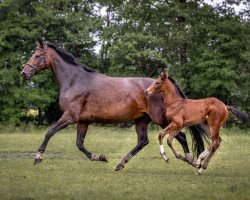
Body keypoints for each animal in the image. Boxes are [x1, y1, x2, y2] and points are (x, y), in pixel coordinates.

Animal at [21, 41, 209, 170]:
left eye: (37, 56)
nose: (24, 73)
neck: (75, 81)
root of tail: (164, 85)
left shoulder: (70, 116)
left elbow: (49, 132)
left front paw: (38, 157)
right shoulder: (83, 121)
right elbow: (79, 144)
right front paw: (100, 157)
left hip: (162, 120)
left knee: (181, 136)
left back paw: (190, 160)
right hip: (142, 120)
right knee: (143, 141)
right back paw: (120, 163)